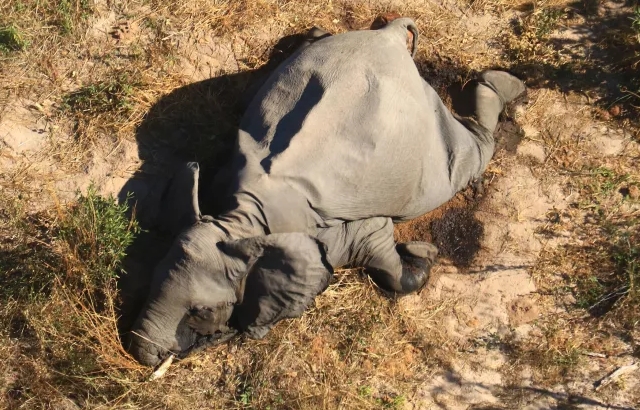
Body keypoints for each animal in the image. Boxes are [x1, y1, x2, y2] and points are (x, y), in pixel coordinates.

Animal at [127, 16, 526, 367]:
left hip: (430, 157)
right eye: (153, 277)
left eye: (202, 310)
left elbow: (386, 260)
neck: (246, 218)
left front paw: (420, 253)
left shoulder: (349, 228)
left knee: (468, 159)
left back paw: (508, 87)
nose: (142, 356)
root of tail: (391, 36)